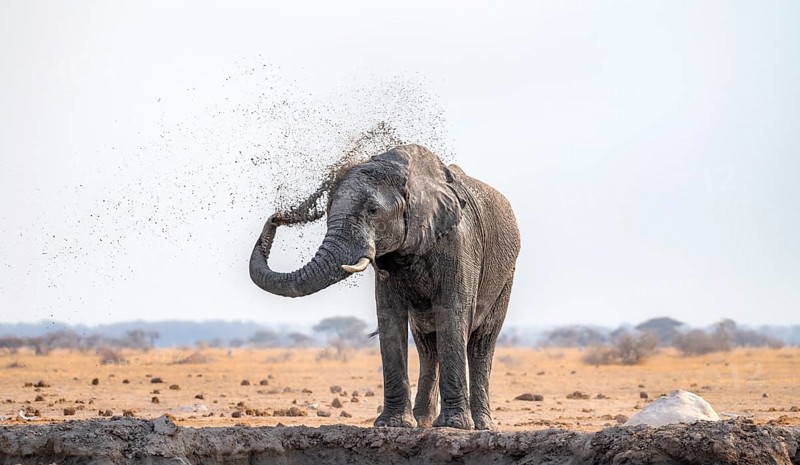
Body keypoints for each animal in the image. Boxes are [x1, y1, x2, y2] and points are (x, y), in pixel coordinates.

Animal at [250, 144, 520, 430]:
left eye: (372, 211)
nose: (278, 217)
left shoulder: (460, 242)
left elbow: (452, 313)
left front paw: (453, 426)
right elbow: (390, 317)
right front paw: (393, 424)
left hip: (507, 276)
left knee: (481, 344)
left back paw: (482, 425)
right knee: (427, 345)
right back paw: (423, 421)